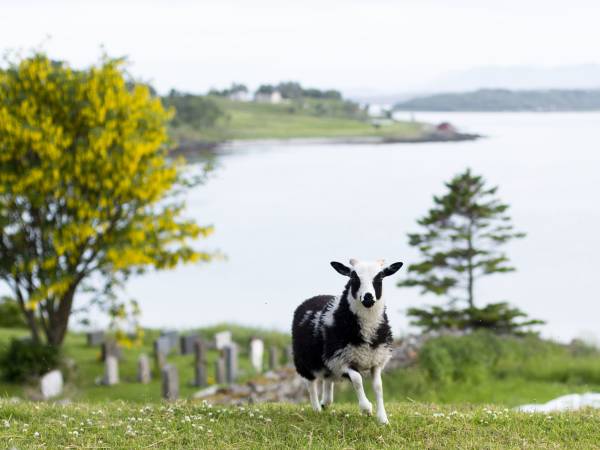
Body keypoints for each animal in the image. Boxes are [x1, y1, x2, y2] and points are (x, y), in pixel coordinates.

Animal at [290, 258, 404, 424]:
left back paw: (326, 402)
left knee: (327, 379)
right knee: (311, 384)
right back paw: (317, 408)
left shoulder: (376, 360)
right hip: (304, 361)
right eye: (353, 277)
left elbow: (378, 387)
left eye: (380, 277)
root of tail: (315, 297)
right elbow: (357, 379)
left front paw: (383, 419)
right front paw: (367, 408)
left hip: (328, 362)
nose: (368, 297)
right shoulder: (341, 360)